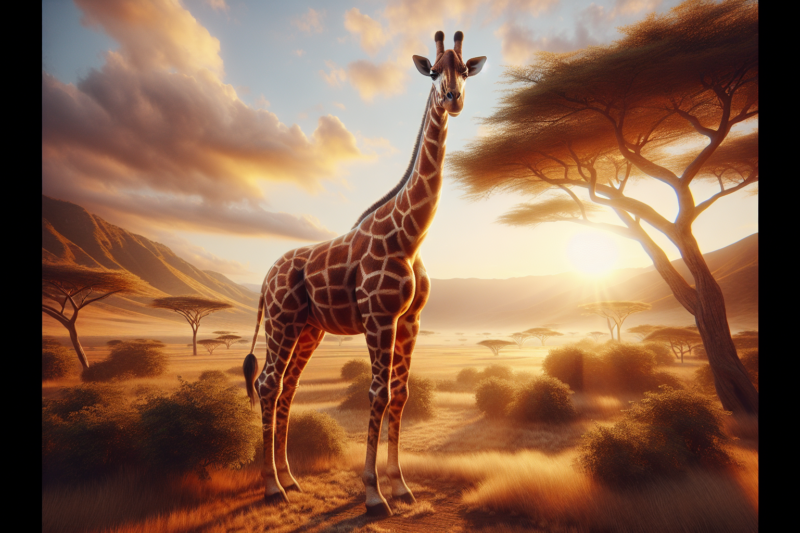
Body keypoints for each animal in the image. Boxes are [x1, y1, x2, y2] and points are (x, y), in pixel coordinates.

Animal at [243, 30, 486, 517]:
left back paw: (291, 479)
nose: (452, 98)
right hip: (281, 321)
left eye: (466, 70)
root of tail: (265, 278)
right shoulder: (379, 318)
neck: (410, 236)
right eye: (433, 71)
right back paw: (272, 487)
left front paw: (402, 487)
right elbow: (379, 393)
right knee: (267, 382)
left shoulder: (410, 320)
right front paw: (374, 495)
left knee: (288, 387)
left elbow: (402, 395)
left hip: (308, 328)